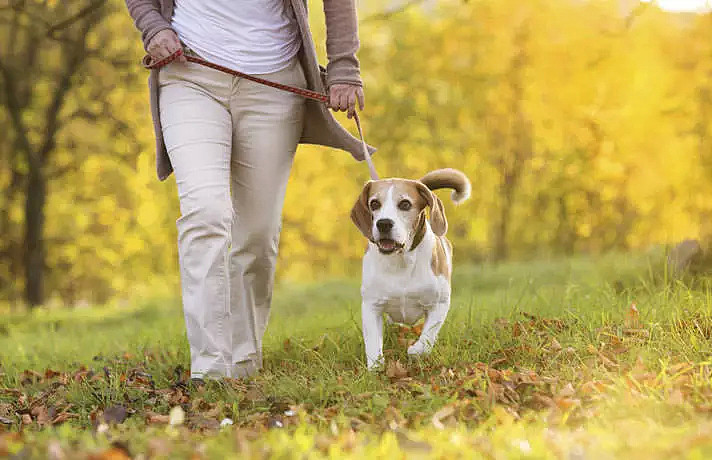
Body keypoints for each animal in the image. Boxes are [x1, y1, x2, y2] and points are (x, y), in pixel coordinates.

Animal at [352, 167, 472, 368]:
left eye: (405, 204)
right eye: (374, 203)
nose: (383, 223)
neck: (401, 261)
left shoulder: (439, 303)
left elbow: (428, 336)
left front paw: (416, 350)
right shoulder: (371, 305)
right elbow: (373, 343)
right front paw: (376, 367)